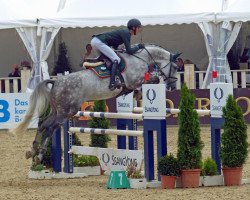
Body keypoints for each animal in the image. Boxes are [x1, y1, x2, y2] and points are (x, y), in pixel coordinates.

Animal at [11, 44, 178, 163]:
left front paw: (139, 93)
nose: (172, 85)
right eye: (176, 67)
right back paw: (39, 155)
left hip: (58, 111)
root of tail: (56, 81)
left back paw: (32, 151)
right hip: (66, 112)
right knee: (50, 128)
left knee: (43, 125)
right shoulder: (134, 81)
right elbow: (151, 79)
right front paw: (143, 90)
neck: (140, 58)